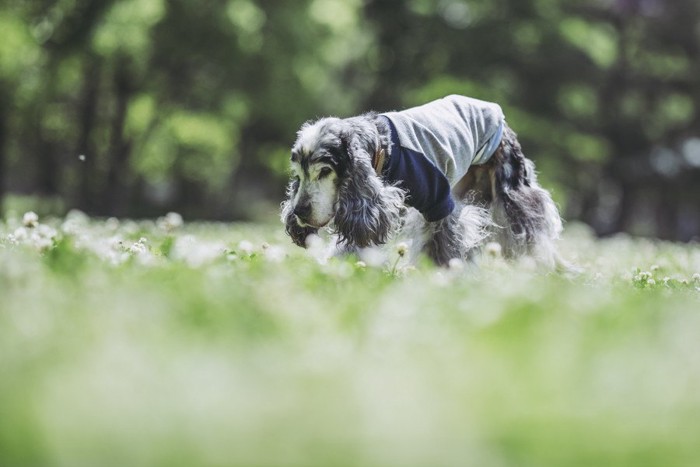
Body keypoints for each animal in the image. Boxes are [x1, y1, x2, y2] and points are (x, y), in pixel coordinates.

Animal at [282, 94, 568, 270]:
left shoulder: (439, 203)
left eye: (324, 171)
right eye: (298, 175)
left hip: (511, 192)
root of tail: (494, 109)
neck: (383, 149)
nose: (299, 211)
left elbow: (447, 244)